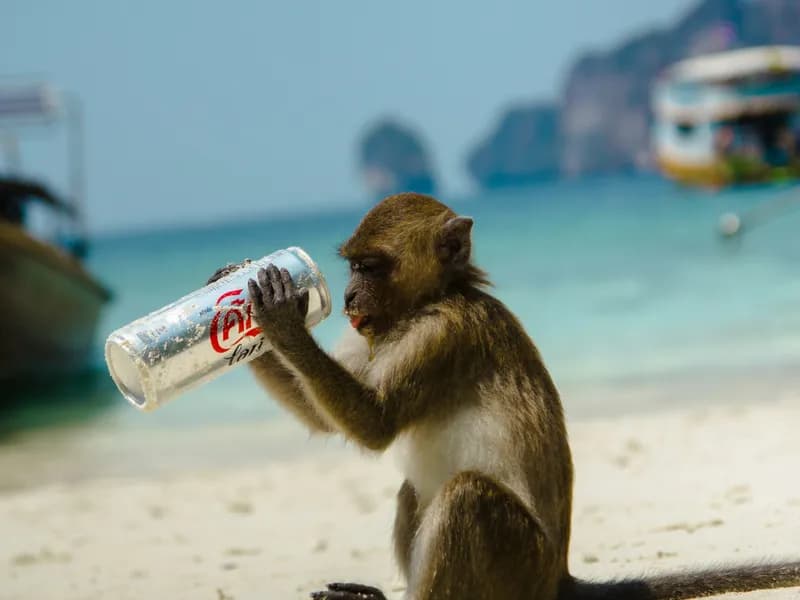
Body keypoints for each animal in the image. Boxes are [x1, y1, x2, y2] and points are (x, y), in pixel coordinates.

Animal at [209, 192, 800, 600]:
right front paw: (235, 310)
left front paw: (280, 318)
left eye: (369, 267)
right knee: (416, 491)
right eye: (352, 267)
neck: (435, 298)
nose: (350, 296)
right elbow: (331, 421)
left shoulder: (443, 334)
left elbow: (375, 425)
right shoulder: (368, 333)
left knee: (465, 495)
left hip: (520, 568)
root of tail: (558, 577)